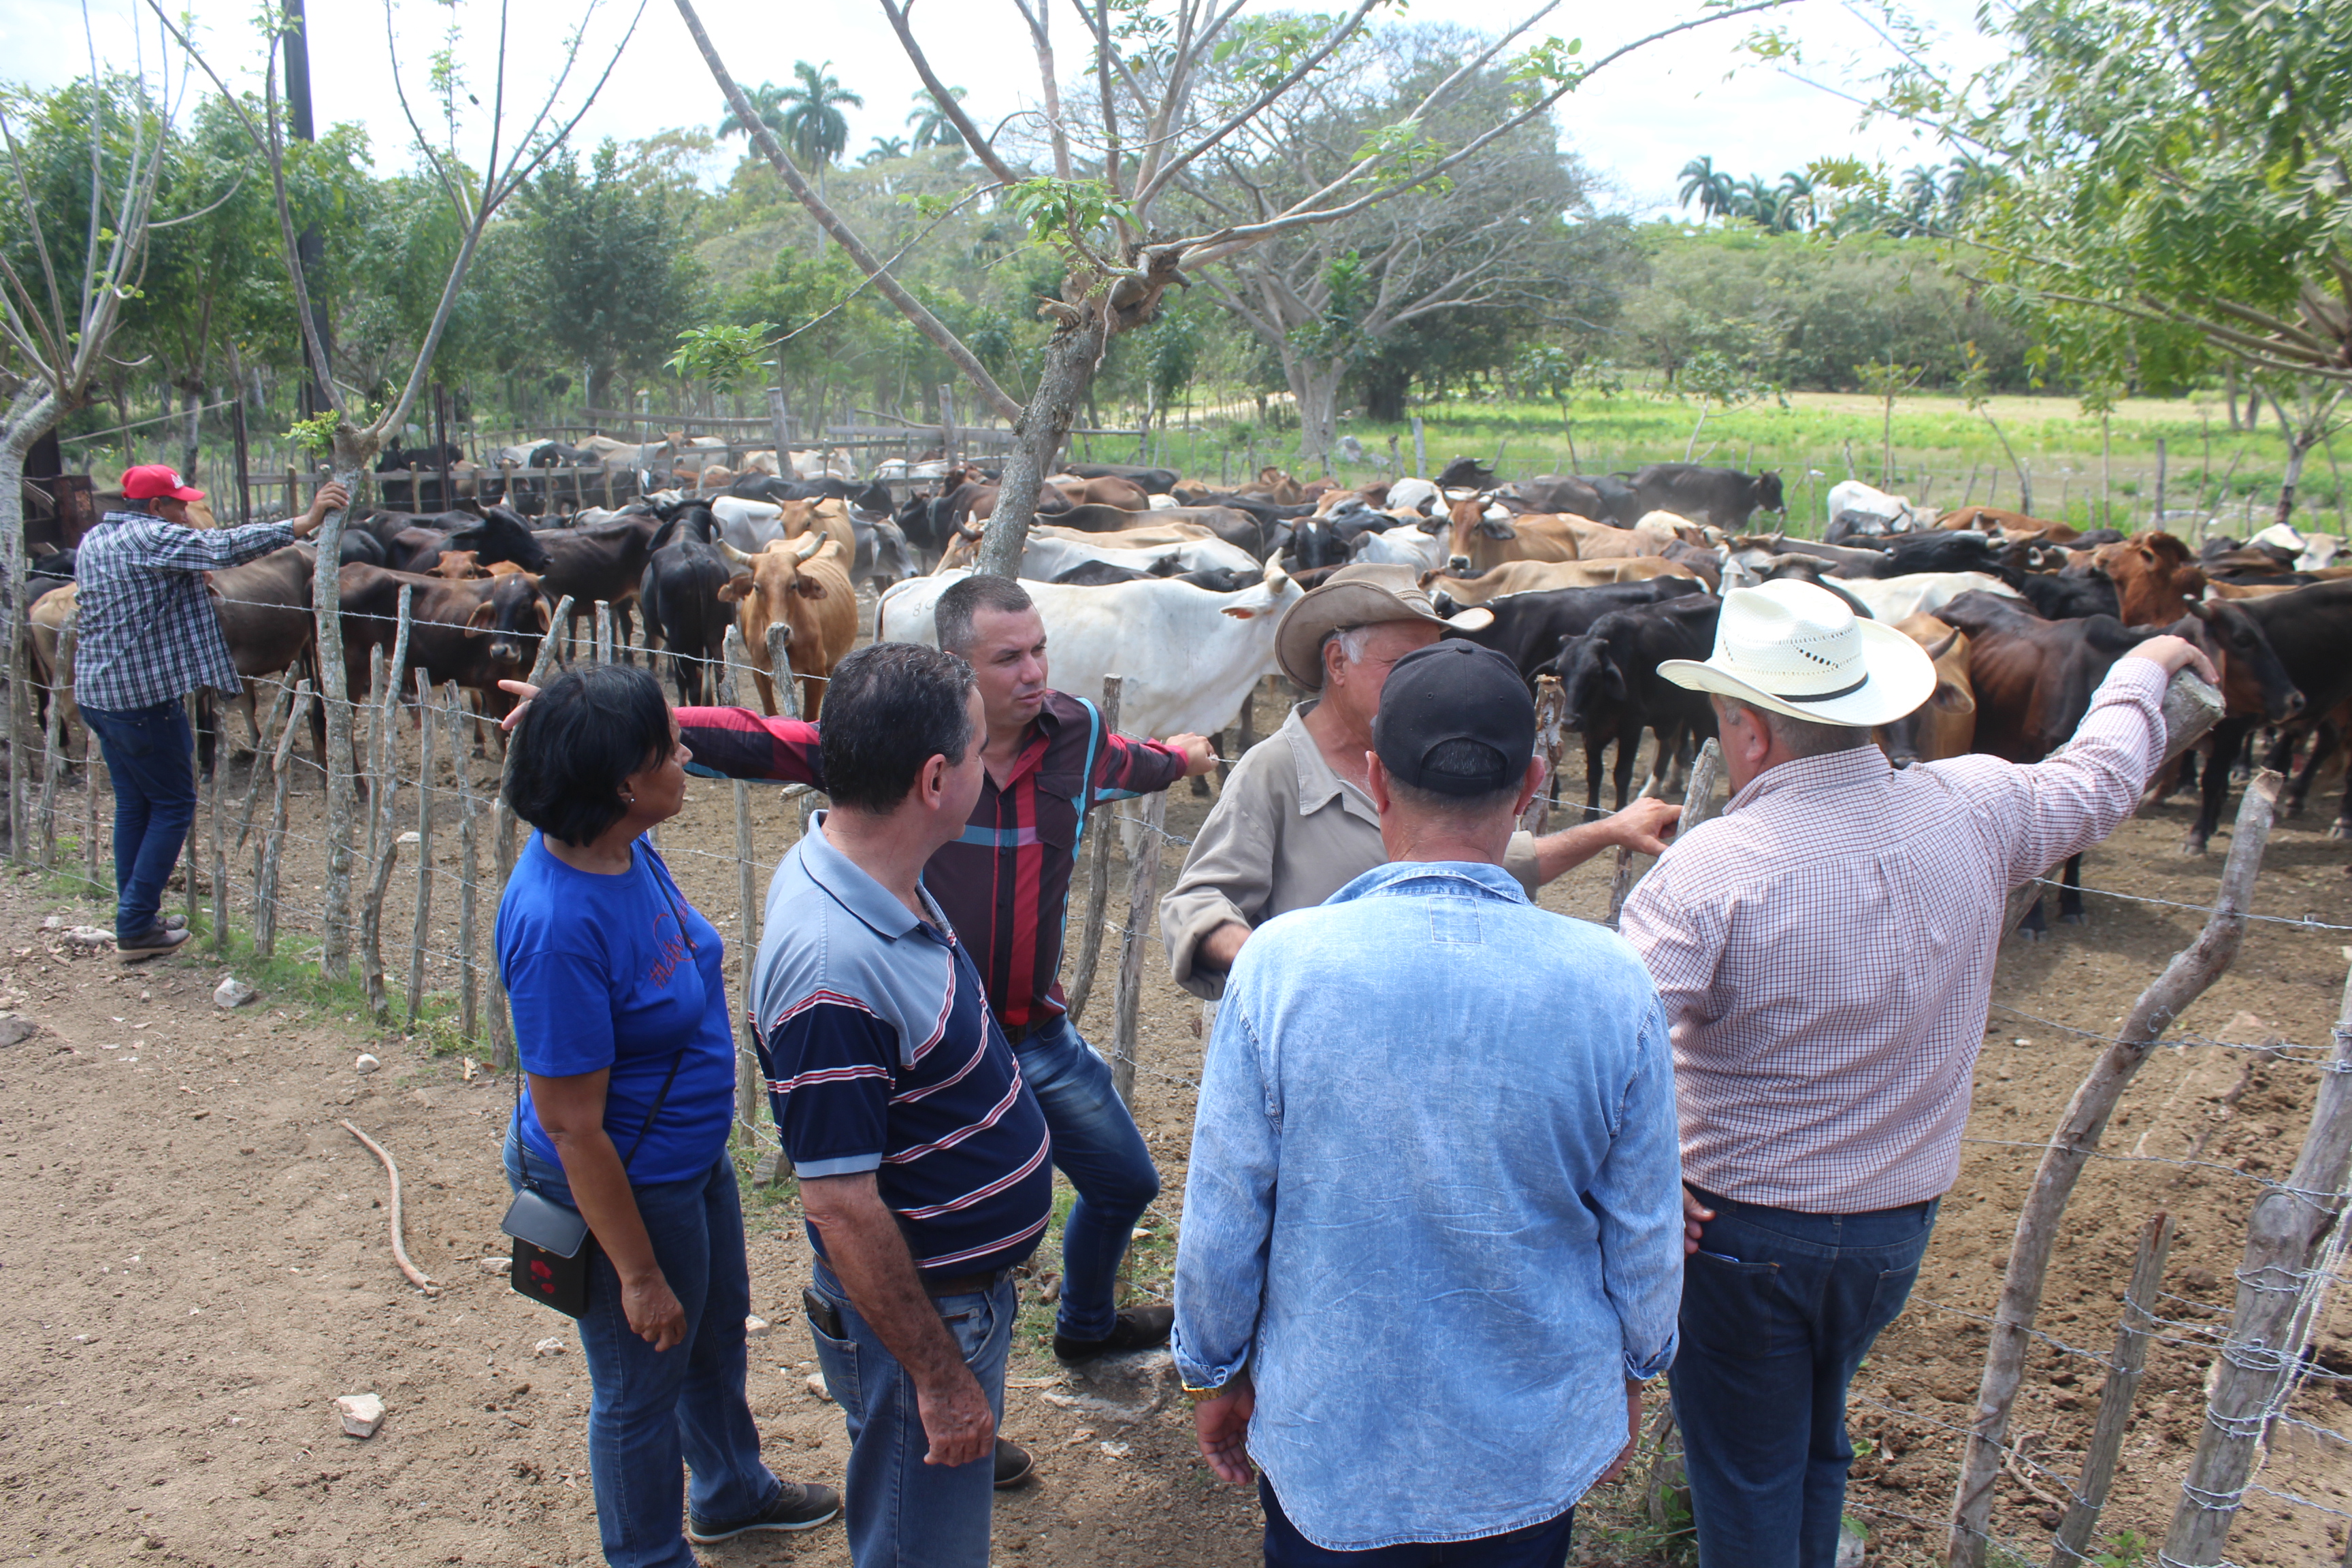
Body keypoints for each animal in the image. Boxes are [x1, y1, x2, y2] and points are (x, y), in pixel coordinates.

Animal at [724, 534, 865, 719]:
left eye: (793, 585)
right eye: (757, 587)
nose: (784, 633)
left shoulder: (816, 671)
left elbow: (809, 716)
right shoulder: (759, 672)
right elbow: (771, 712)